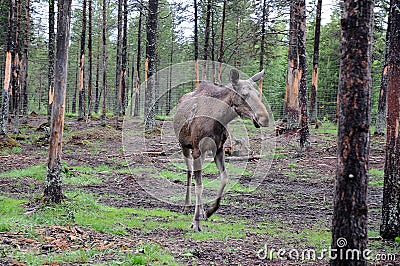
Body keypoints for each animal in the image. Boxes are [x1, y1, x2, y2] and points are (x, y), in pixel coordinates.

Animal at [173, 69, 270, 232]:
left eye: (258, 93)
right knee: (189, 172)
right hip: (185, 147)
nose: (265, 119)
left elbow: (224, 178)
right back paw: (186, 207)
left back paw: (201, 211)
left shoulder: (218, 149)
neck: (219, 118)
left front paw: (209, 211)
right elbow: (199, 186)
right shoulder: (197, 149)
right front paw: (196, 223)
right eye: (243, 94)